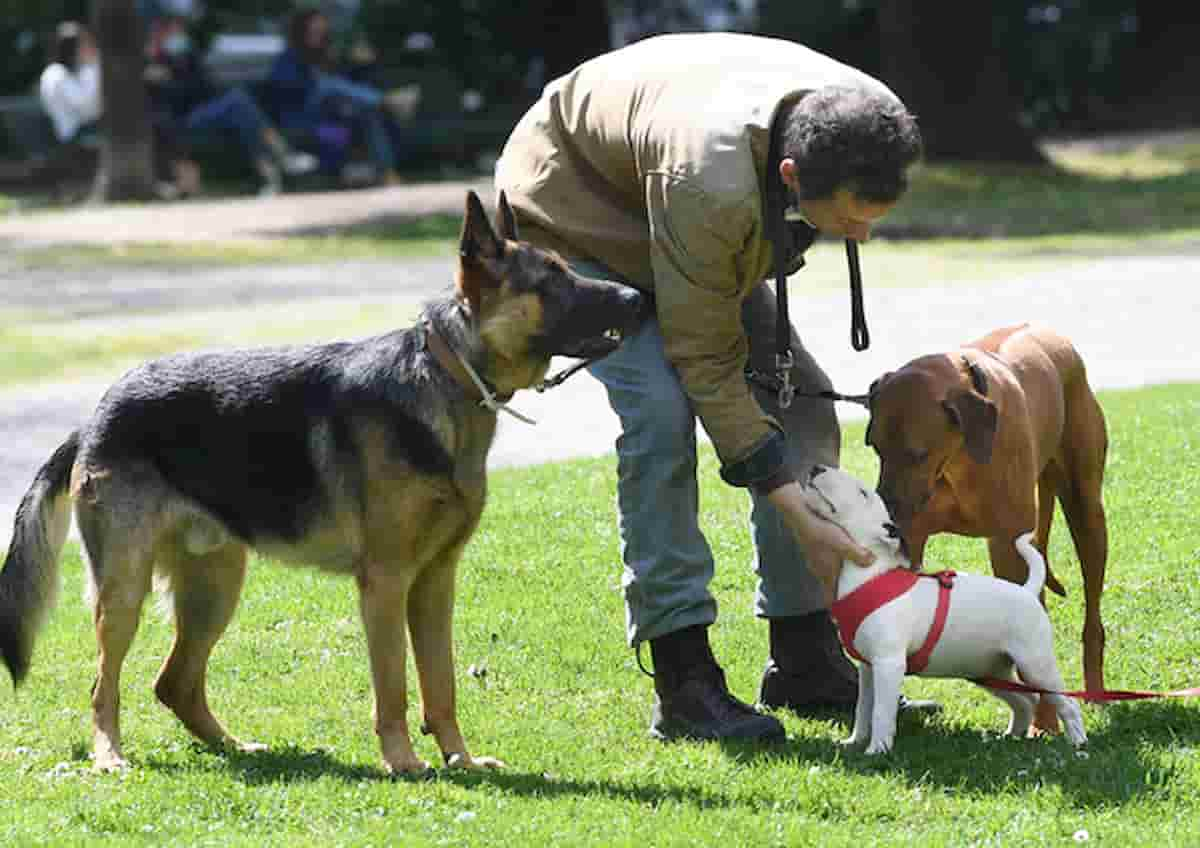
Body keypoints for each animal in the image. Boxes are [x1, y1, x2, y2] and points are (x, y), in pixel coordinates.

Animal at [0, 191, 648, 777]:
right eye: (552, 280)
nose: (639, 297)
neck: (446, 376)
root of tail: (94, 416)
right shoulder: (385, 585)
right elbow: (394, 688)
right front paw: (403, 761)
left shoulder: (435, 583)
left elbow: (441, 685)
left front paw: (460, 759)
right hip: (125, 591)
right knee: (103, 685)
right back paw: (109, 756)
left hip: (215, 587)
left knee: (174, 682)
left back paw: (236, 748)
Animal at [806, 465, 1089, 758]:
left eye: (862, 492)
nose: (817, 468)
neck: (872, 574)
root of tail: (1027, 591)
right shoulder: (868, 668)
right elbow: (863, 708)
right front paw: (854, 742)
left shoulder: (888, 663)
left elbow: (881, 712)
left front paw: (878, 750)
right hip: (988, 671)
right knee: (1025, 699)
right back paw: (1011, 736)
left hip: (1035, 663)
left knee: (1066, 703)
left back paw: (1079, 744)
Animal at [864, 326, 1104, 729]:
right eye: (876, 448)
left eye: (918, 454)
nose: (888, 516)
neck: (959, 458)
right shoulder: (915, 536)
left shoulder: (1009, 546)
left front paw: (1044, 725)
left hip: (1087, 509)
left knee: (1093, 619)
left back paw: (1097, 692)